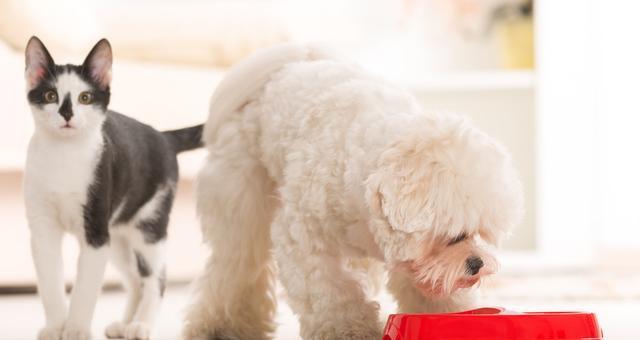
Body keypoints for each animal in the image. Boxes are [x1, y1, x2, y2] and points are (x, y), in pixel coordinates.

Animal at [24, 36, 202, 340]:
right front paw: (55, 327)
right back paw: (124, 325)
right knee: (133, 279)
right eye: (50, 96)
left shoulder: (96, 232)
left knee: (155, 278)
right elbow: (50, 281)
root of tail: (164, 137)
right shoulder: (43, 229)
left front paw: (76, 329)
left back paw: (141, 325)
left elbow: (85, 287)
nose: (67, 113)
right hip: (118, 236)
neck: (63, 156)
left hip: (148, 226)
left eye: (85, 98)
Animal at [182, 44, 524, 340]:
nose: (477, 263)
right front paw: (348, 329)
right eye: (454, 236)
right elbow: (329, 291)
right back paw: (220, 326)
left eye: (479, 234)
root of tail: (289, 62)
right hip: (239, 198)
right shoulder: (301, 239)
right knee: (235, 265)